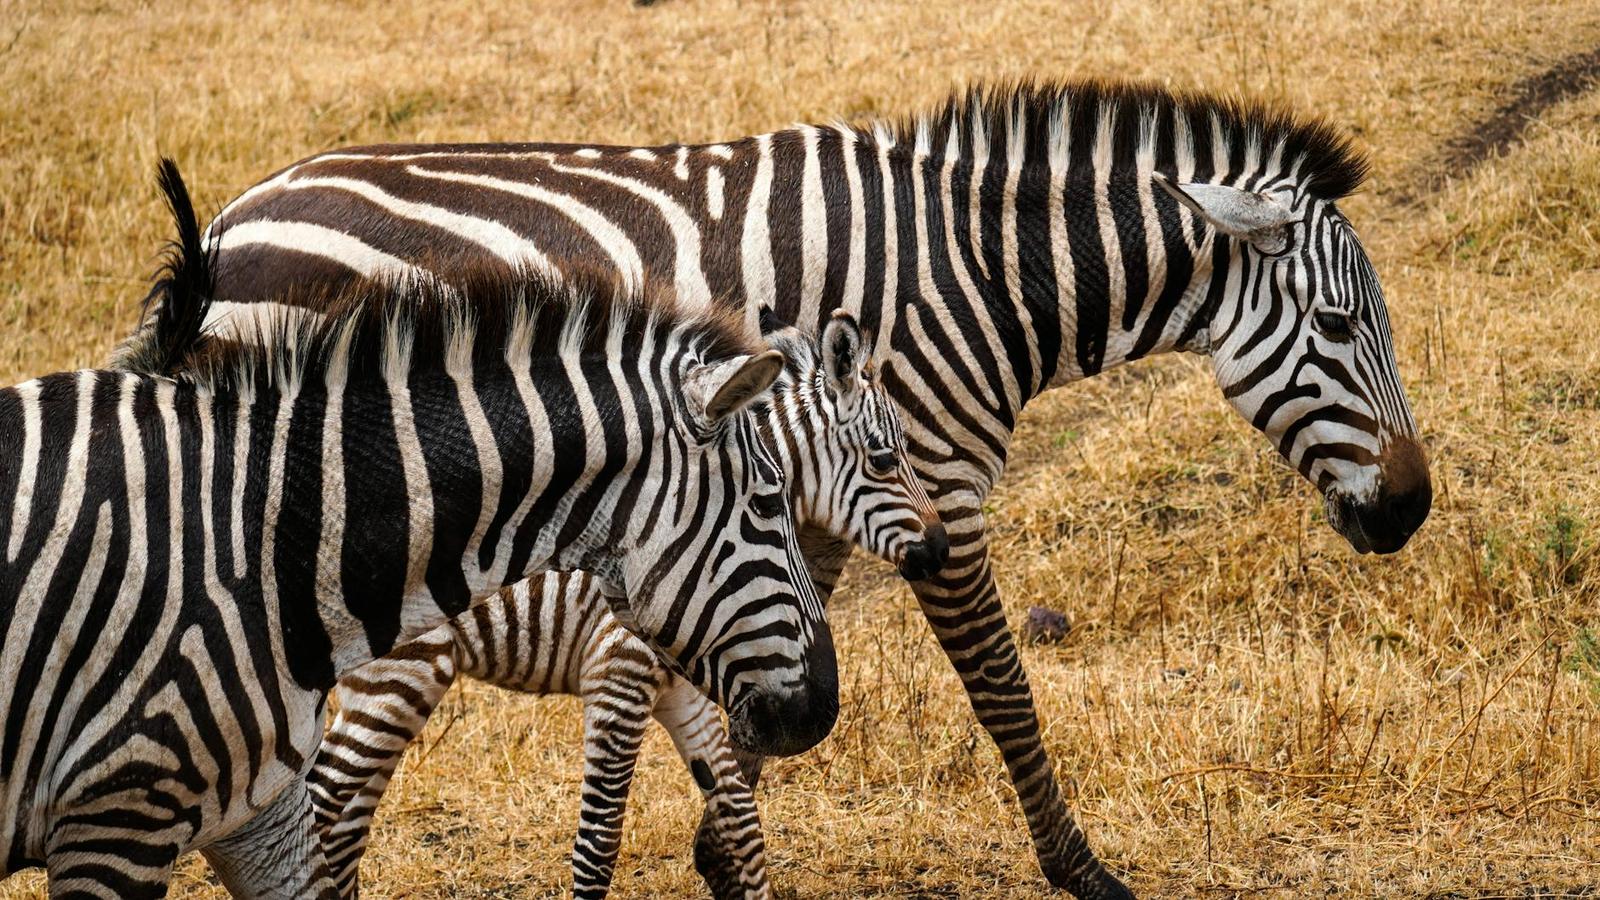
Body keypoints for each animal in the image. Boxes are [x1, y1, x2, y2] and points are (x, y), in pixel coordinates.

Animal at [117, 79, 1434, 899]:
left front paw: (720, 833)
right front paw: (1085, 873)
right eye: (1337, 325)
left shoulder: (829, 487)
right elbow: (1002, 693)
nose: (1410, 510)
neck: (980, 272)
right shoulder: (938, 485)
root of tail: (233, 219)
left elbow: (772, 641)